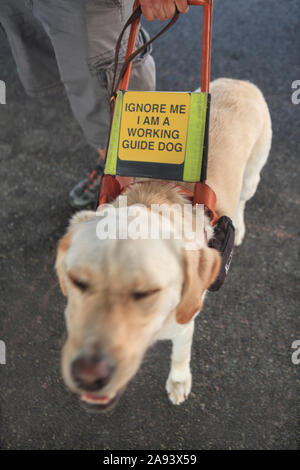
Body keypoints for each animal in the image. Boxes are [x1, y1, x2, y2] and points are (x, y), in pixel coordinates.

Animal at [55, 79, 270, 410]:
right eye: (78, 282)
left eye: (146, 293)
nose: (88, 377)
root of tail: (240, 82)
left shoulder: (184, 323)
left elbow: (180, 354)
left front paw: (179, 382)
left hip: (252, 175)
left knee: (244, 199)